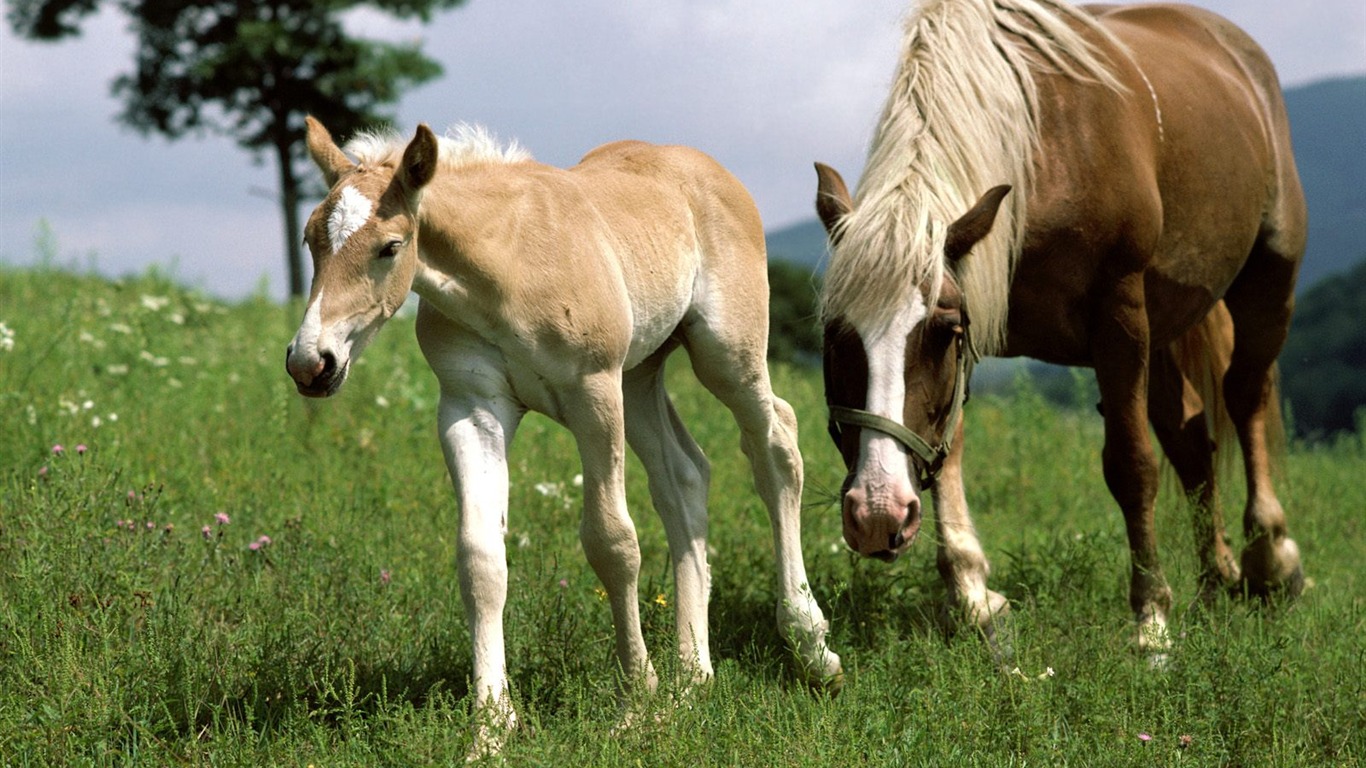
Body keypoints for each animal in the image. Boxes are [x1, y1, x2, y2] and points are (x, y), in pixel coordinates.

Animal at [814, 0, 1305, 655]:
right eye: (834, 334)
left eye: (941, 332)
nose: (876, 513)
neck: (1039, 154)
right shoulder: (980, 306)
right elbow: (948, 445)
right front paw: (973, 594)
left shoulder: (1118, 314)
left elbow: (1131, 463)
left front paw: (1151, 618)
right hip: (1168, 323)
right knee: (1191, 435)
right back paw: (1215, 577)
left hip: (1269, 278)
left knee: (1246, 394)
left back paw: (1271, 556)